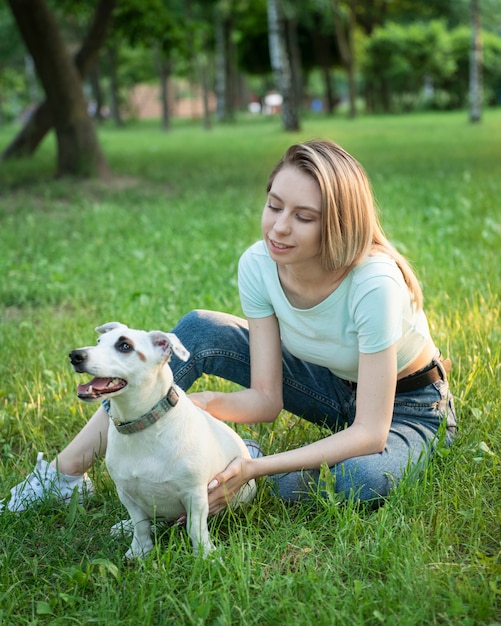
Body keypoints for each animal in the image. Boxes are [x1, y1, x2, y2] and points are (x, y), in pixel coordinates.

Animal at [69, 322, 256, 556]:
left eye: (124, 346)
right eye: (99, 342)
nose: (75, 355)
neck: (142, 425)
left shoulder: (195, 495)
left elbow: (195, 528)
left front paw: (205, 555)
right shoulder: (127, 493)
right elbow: (140, 525)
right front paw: (140, 550)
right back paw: (125, 527)